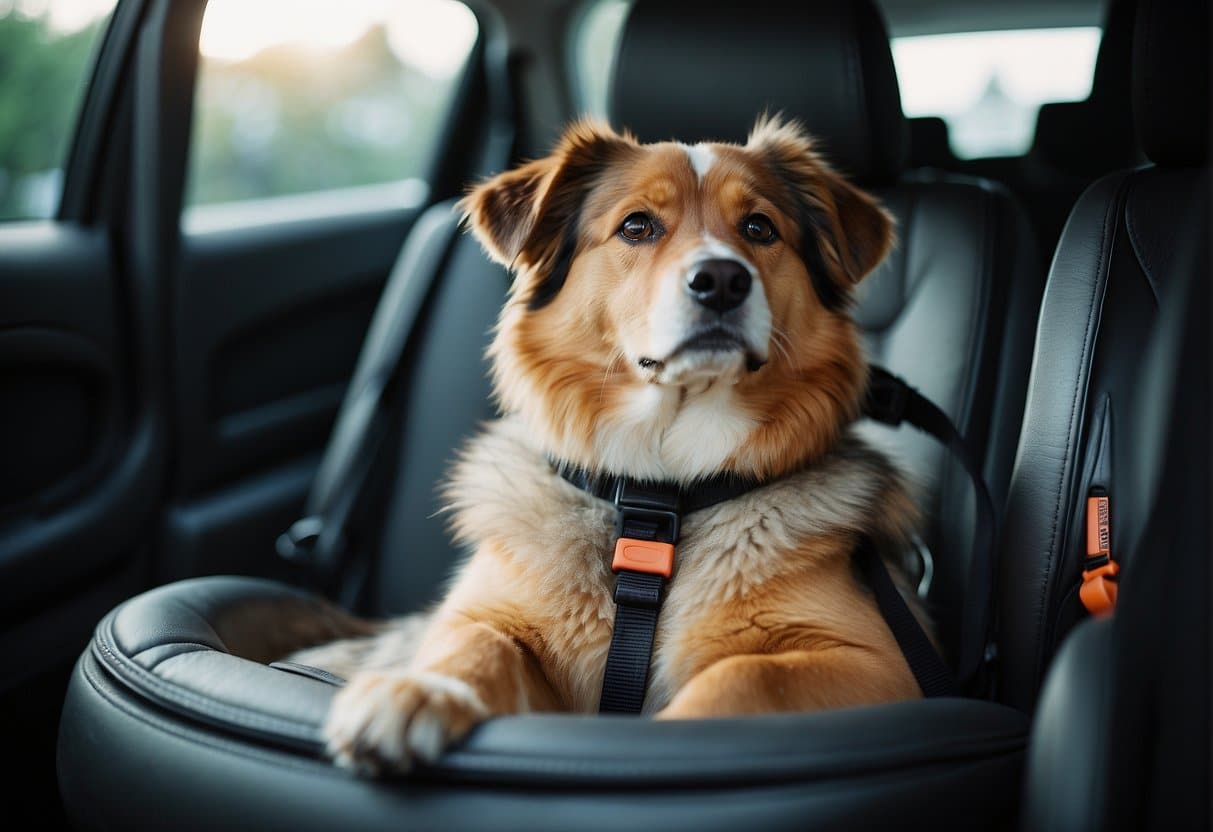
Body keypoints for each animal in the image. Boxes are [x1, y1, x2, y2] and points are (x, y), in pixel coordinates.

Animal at [286, 115, 926, 776]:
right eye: (636, 226)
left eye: (759, 228)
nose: (723, 281)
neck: (660, 493)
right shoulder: (491, 620)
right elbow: (478, 640)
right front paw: (421, 688)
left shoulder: (879, 664)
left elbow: (742, 678)